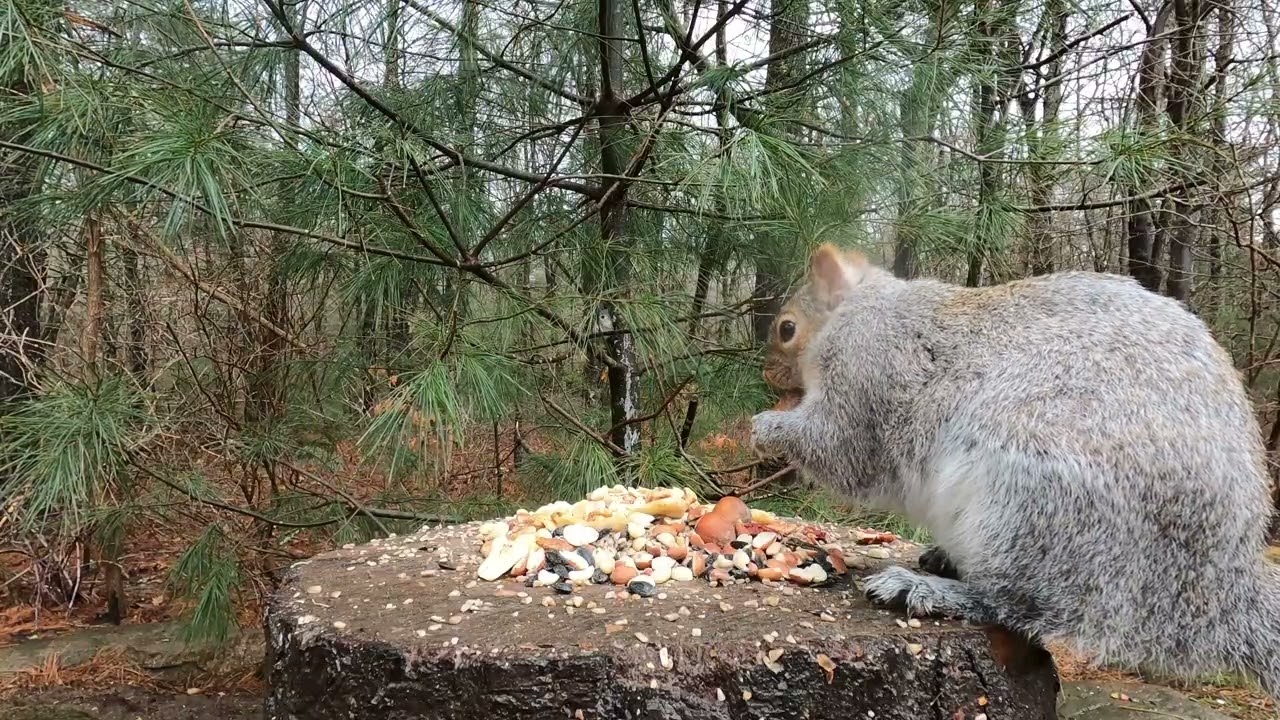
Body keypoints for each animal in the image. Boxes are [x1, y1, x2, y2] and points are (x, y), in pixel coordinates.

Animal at [752, 242, 1280, 698]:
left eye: (786, 329)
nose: (766, 377)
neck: (859, 309)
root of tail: (1212, 588)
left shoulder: (869, 371)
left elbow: (843, 450)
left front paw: (765, 427)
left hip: (1029, 507)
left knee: (1019, 605)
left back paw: (926, 589)